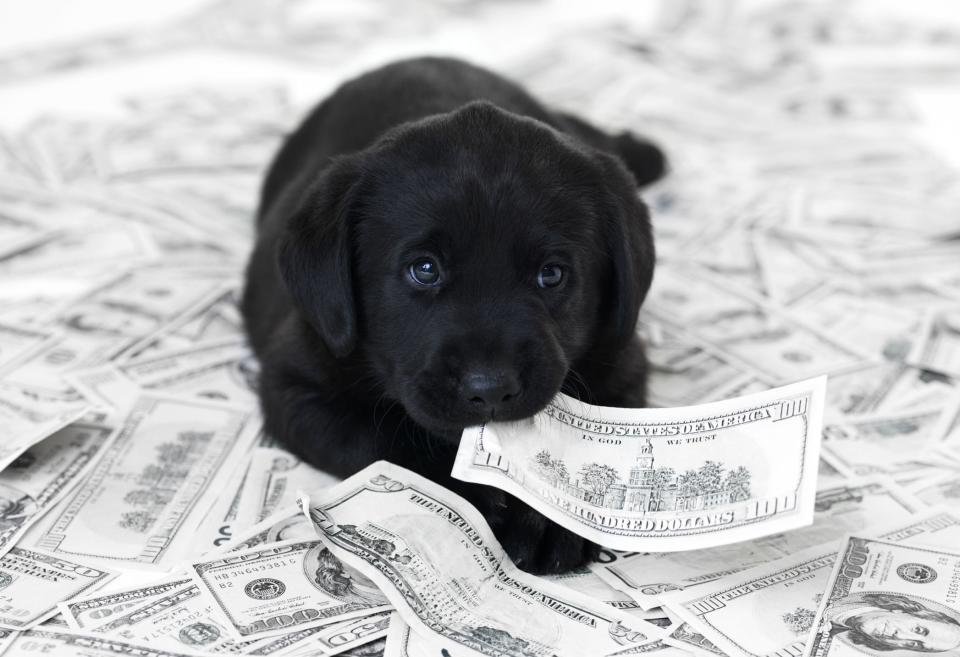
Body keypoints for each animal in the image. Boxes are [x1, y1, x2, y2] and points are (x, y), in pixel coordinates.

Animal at [244, 59, 664, 576]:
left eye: (552, 274)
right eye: (424, 269)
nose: (490, 389)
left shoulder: (624, 364)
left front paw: (546, 520)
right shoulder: (295, 384)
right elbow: (385, 440)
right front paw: (472, 492)